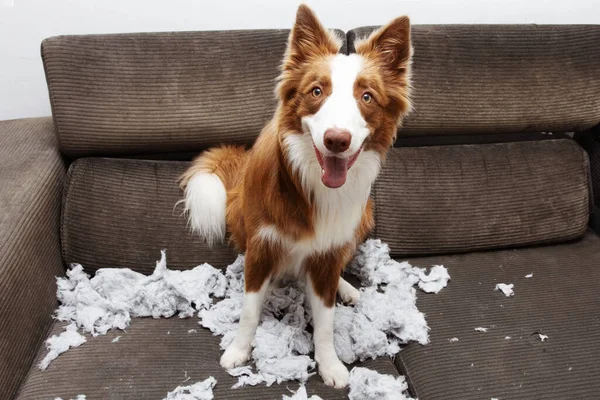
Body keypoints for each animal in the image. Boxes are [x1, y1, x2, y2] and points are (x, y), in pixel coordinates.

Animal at [179, 4, 412, 390]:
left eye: (366, 97)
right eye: (317, 91)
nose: (337, 140)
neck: (313, 186)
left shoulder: (327, 254)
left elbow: (326, 322)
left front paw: (330, 364)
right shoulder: (261, 245)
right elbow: (249, 311)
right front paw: (238, 352)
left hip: (362, 217)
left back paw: (346, 287)